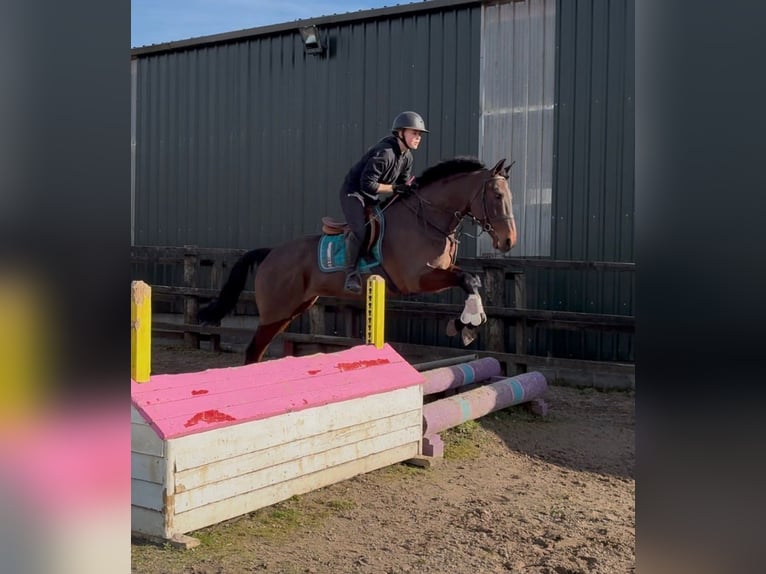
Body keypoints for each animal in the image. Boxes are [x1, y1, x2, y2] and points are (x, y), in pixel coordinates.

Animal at [199, 156, 517, 364]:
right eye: (497, 195)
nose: (508, 241)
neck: (427, 218)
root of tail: (271, 253)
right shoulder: (418, 279)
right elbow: (467, 278)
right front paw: (468, 323)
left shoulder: (441, 270)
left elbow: (471, 279)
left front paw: (467, 324)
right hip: (276, 311)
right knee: (253, 350)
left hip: (293, 308)